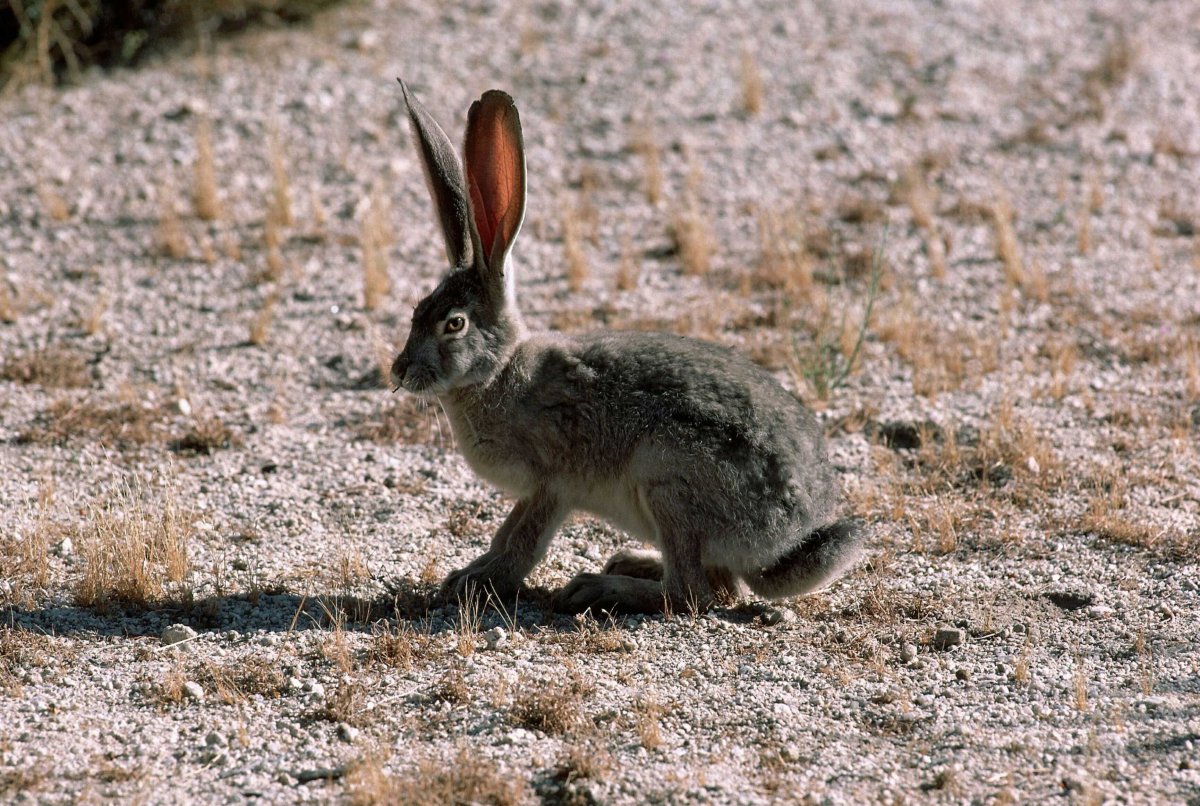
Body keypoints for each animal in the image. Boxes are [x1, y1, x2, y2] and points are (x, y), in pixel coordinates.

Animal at [391, 80, 864, 614]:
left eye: (454, 324)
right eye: (417, 310)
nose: (400, 371)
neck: (499, 373)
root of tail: (787, 536)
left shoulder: (552, 483)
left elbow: (520, 542)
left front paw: (476, 582)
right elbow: (507, 534)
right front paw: (467, 575)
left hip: (669, 479)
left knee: (692, 594)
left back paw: (598, 587)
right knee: (719, 585)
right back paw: (628, 562)